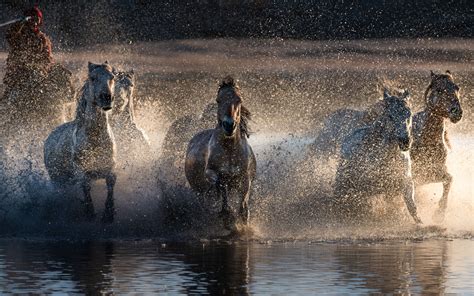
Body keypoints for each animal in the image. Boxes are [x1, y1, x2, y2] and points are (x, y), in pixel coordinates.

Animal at [44, 61, 117, 222]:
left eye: (112, 77)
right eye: (93, 78)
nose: (106, 98)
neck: (95, 139)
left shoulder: (108, 166)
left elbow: (111, 181)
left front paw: (108, 214)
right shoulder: (81, 171)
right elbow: (85, 185)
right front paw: (90, 213)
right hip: (58, 180)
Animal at [185, 77, 258, 228]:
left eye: (239, 100)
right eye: (218, 100)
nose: (229, 125)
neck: (229, 151)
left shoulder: (245, 178)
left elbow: (243, 207)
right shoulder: (211, 172)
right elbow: (220, 185)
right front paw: (226, 214)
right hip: (197, 191)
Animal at [412, 70, 462, 221]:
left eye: (457, 88)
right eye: (439, 90)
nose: (457, 112)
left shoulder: (432, 172)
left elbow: (449, 179)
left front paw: (439, 214)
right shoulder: (418, 175)